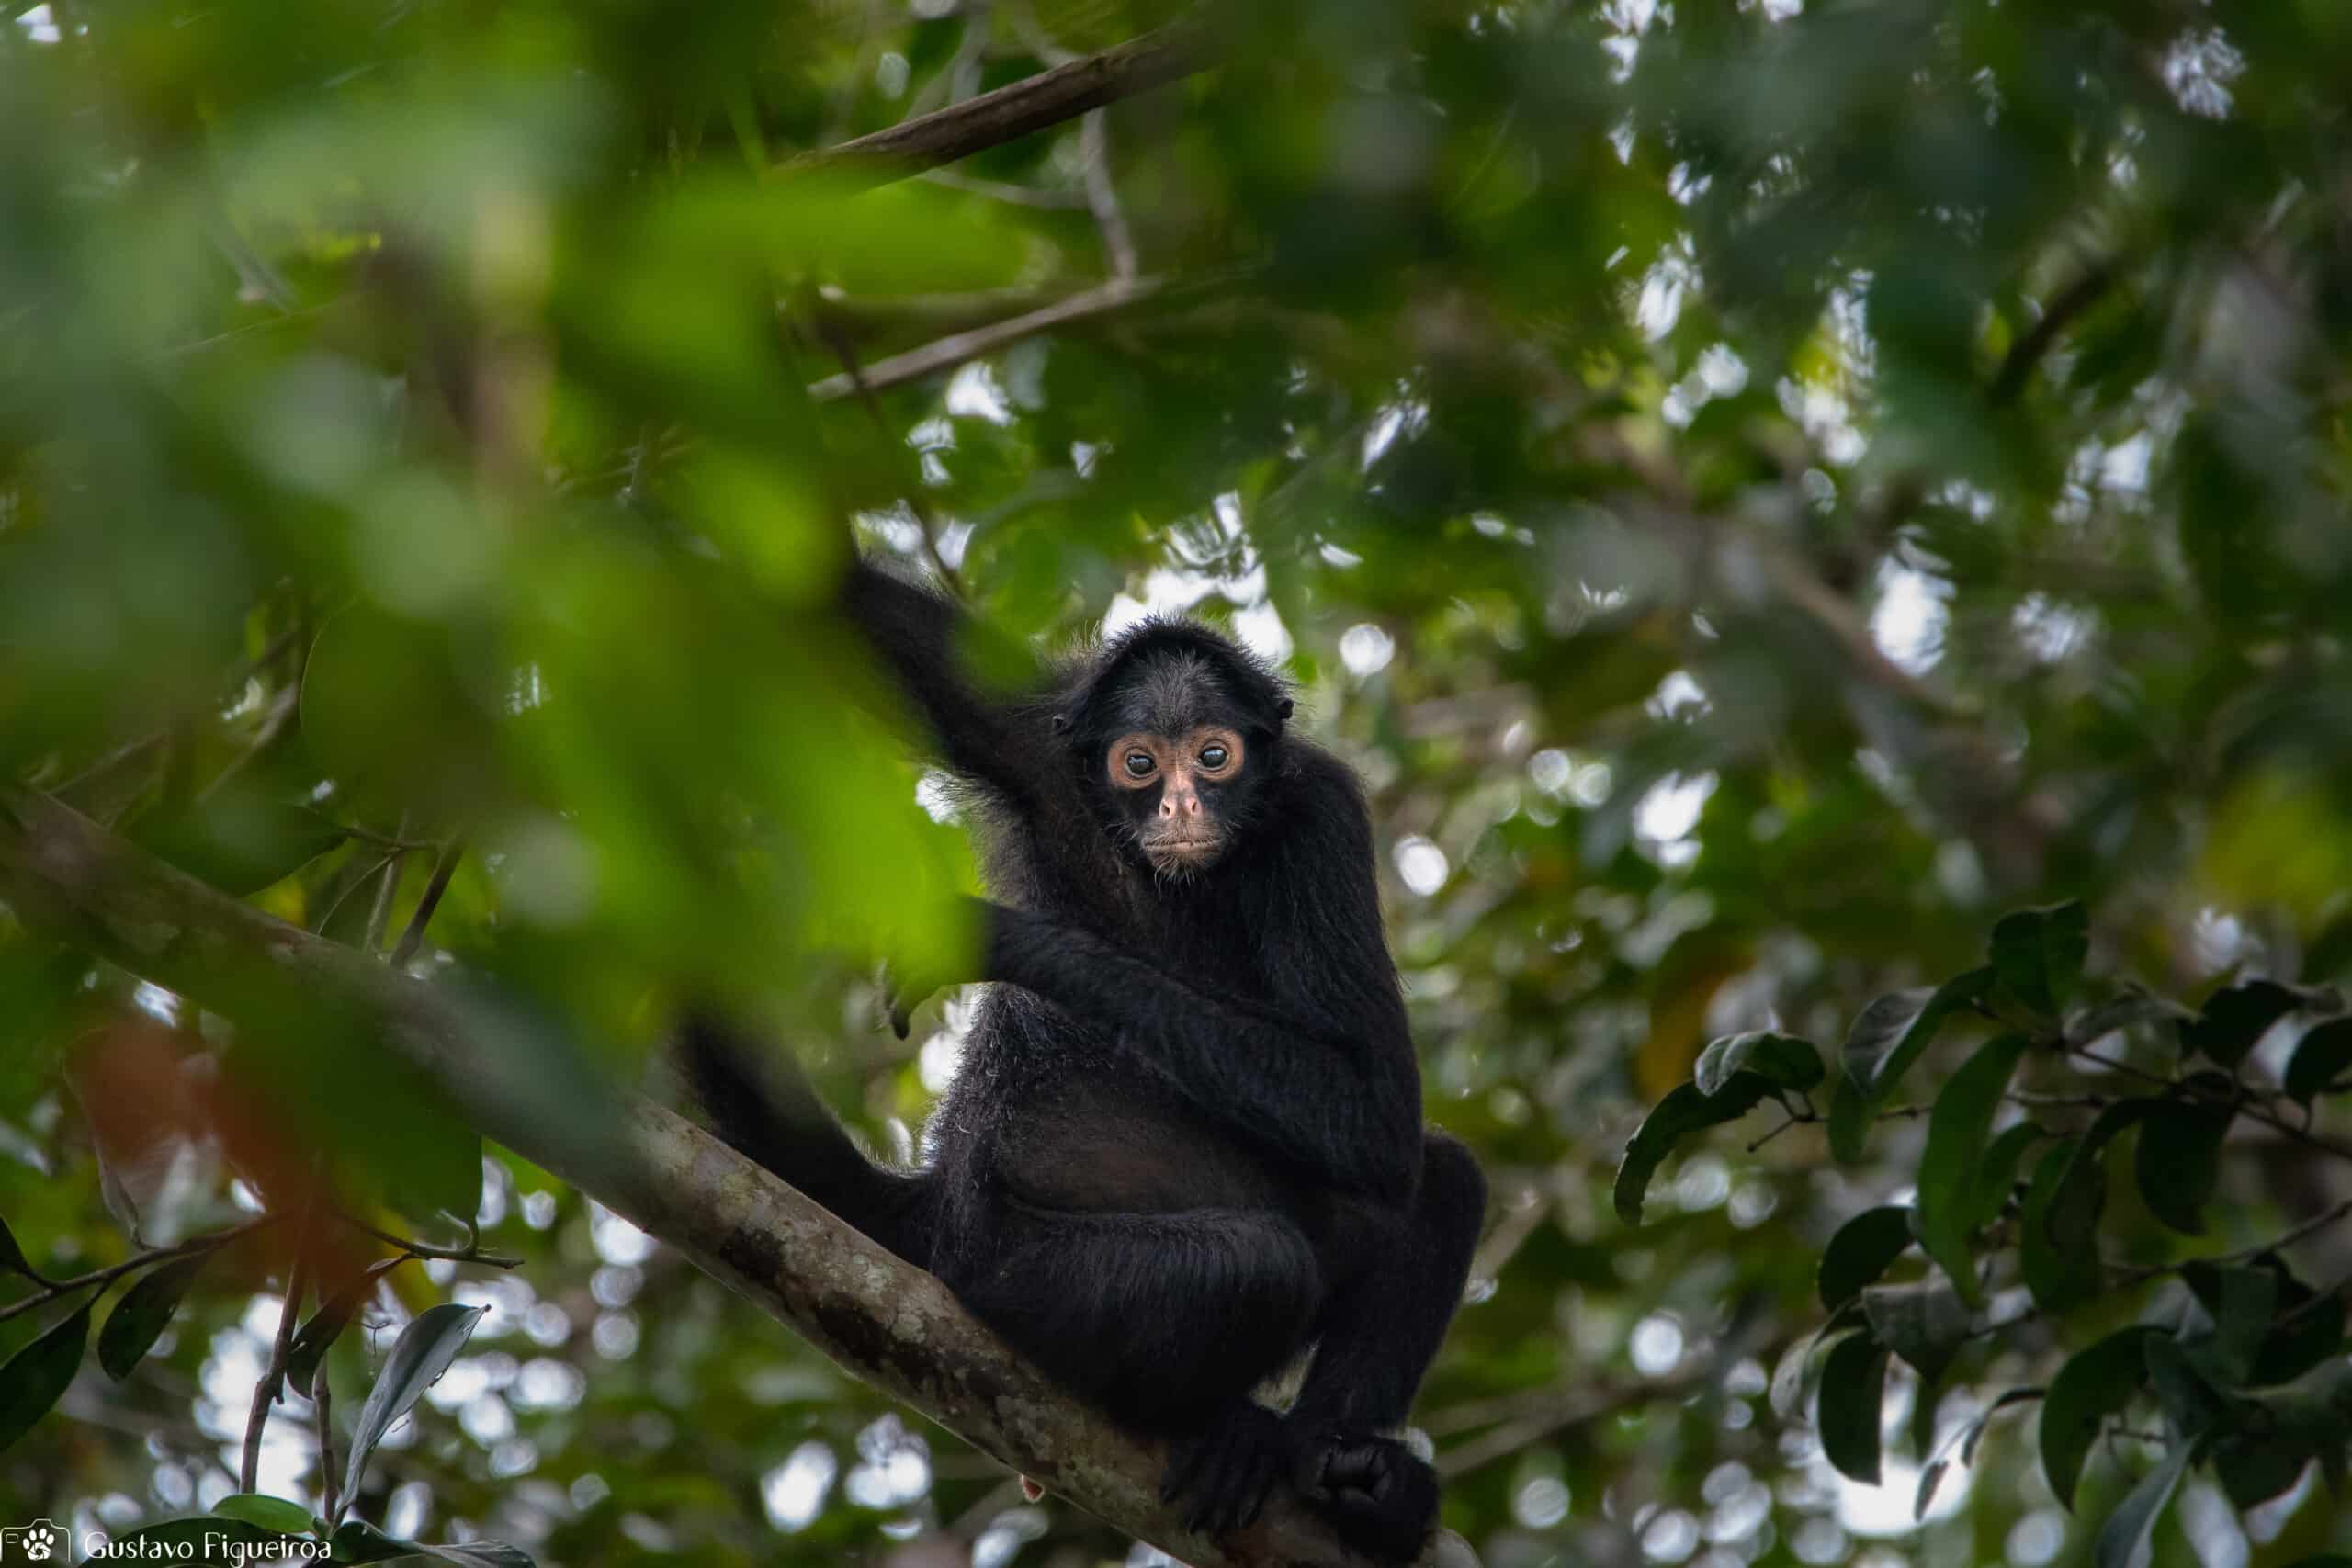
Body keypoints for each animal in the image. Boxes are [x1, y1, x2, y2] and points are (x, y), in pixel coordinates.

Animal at [686, 557, 1486, 1561]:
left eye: (1214, 756)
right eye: (1139, 764)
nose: (1181, 804)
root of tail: (937, 1206)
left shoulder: (1321, 811)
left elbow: (1376, 1117)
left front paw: (1010, 943)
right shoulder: (1035, 735)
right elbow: (829, 594)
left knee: (1439, 1180)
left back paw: (1341, 1477)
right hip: (1010, 1271)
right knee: (1258, 1261)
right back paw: (1232, 1433)